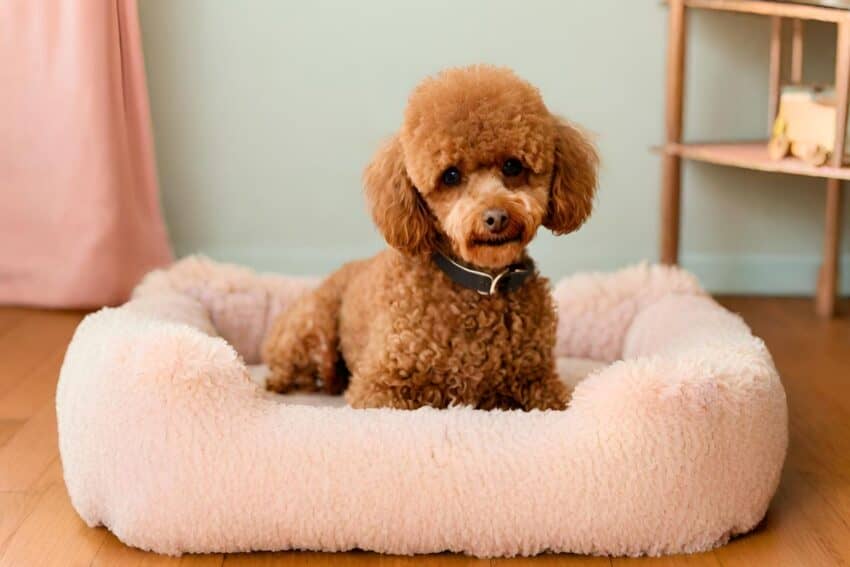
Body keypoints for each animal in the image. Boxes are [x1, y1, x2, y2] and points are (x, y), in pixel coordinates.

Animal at [262, 66, 600, 410]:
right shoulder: (379, 386)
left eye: (512, 166)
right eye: (450, 175)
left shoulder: (539, 380)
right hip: (311, 330)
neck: (478, 283)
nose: (496, 217)